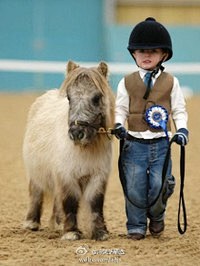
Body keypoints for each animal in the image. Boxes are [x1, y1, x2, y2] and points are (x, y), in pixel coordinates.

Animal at [22, 60, 115, 241]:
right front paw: (71, 232)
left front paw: (100, 232)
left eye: (96, 98)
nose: (76, 133)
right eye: (69, 98)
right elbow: (70, 201)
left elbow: (95, 203)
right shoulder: (66, 175)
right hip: (36, 174)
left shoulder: (98, 177)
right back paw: (31, 223)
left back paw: (58, 223)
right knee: (36, 193)